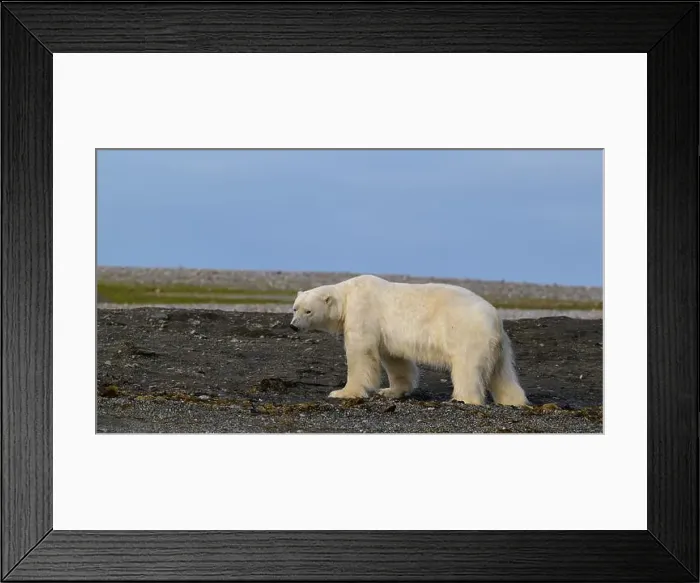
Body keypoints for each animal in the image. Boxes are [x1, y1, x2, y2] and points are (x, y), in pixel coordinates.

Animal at [289, 274, 529, 406]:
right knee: (502, 374)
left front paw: (343, 392)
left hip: (467, 334)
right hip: (499, 346)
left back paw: (463, 398)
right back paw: (514, 400)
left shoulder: (363, 312)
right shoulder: (387, 334)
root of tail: (495, 318)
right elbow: (395, 358)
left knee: (467, 369)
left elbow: (361, 353)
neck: (348, 295)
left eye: (308, 311)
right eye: (295, 308)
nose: (293, 325)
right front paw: (390, 391)